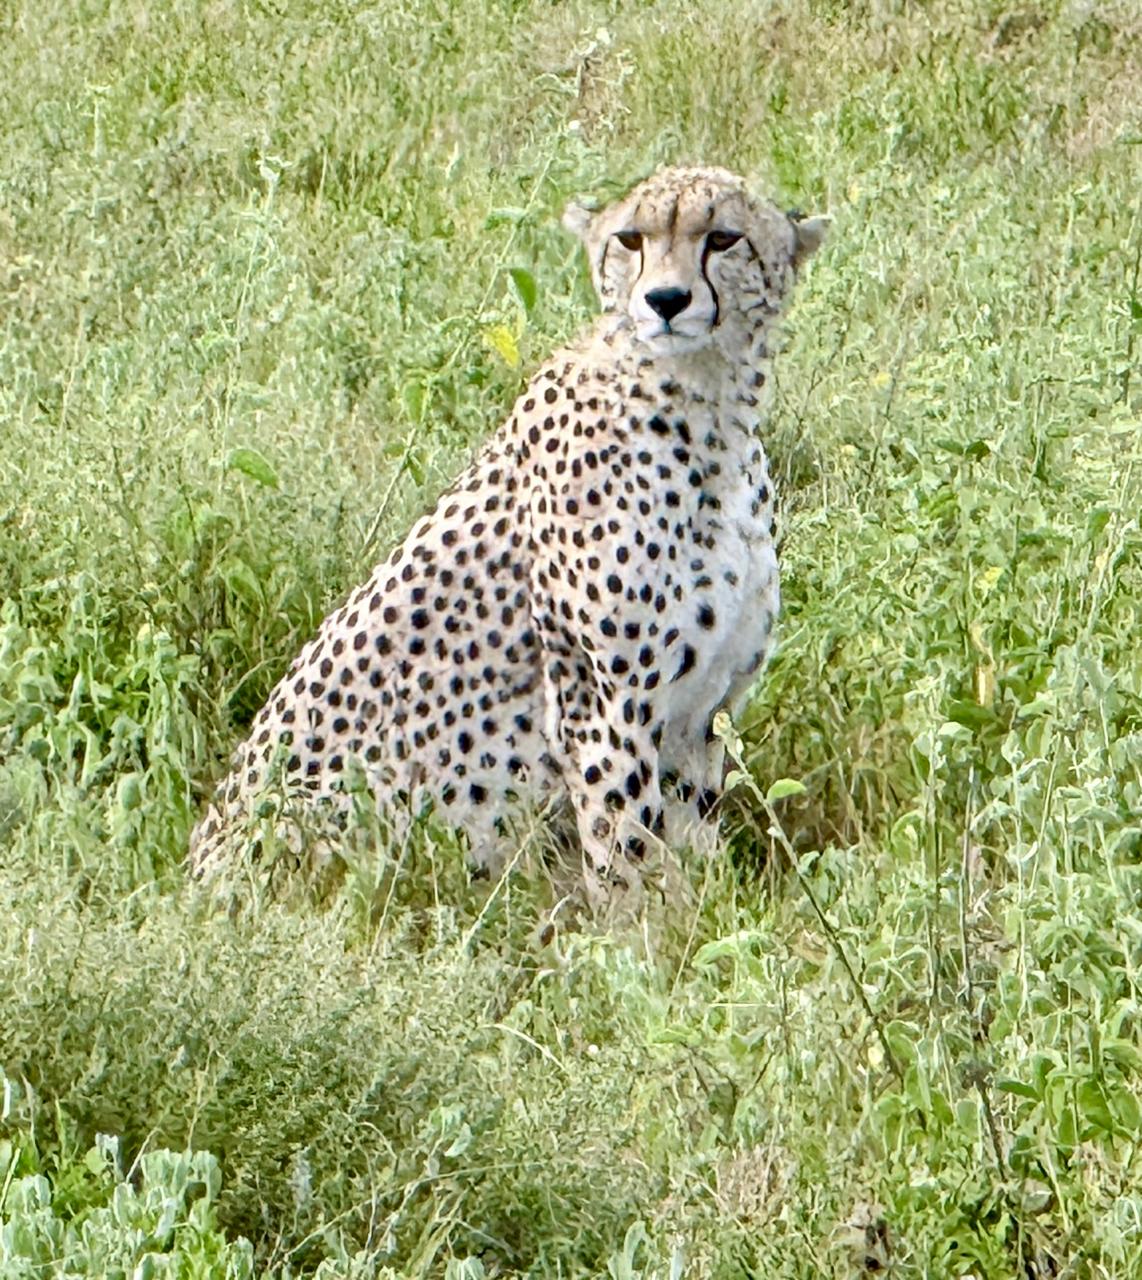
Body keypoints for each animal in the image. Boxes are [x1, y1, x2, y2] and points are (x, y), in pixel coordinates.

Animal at [189, 165, 827, 898]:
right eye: (630, 239)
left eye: (723, 238)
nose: (665, 300)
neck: (706, 408)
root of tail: (190, 878)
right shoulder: (602, 704)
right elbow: (626, 845)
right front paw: (642, 927)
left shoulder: (703, 712)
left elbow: (691, 843)